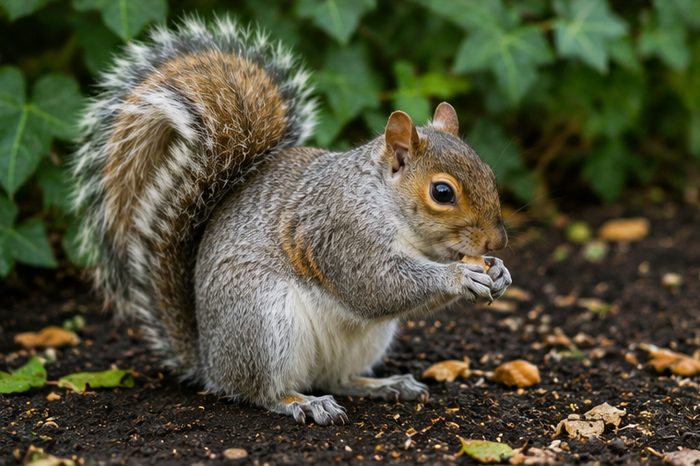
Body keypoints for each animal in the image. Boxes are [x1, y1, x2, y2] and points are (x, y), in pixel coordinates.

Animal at [72, 17, 512, 425]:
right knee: (261, 391)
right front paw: (459, 276)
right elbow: (374, 284)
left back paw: (383, 384)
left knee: (337, 378)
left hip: (364, 339)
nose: (497, 243)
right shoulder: (340, 230)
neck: (384, 202)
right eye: (442, 193)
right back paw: (303, 402)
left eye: (489, 172)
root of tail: (209, 360)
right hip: (264, 320)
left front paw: (498, 272)